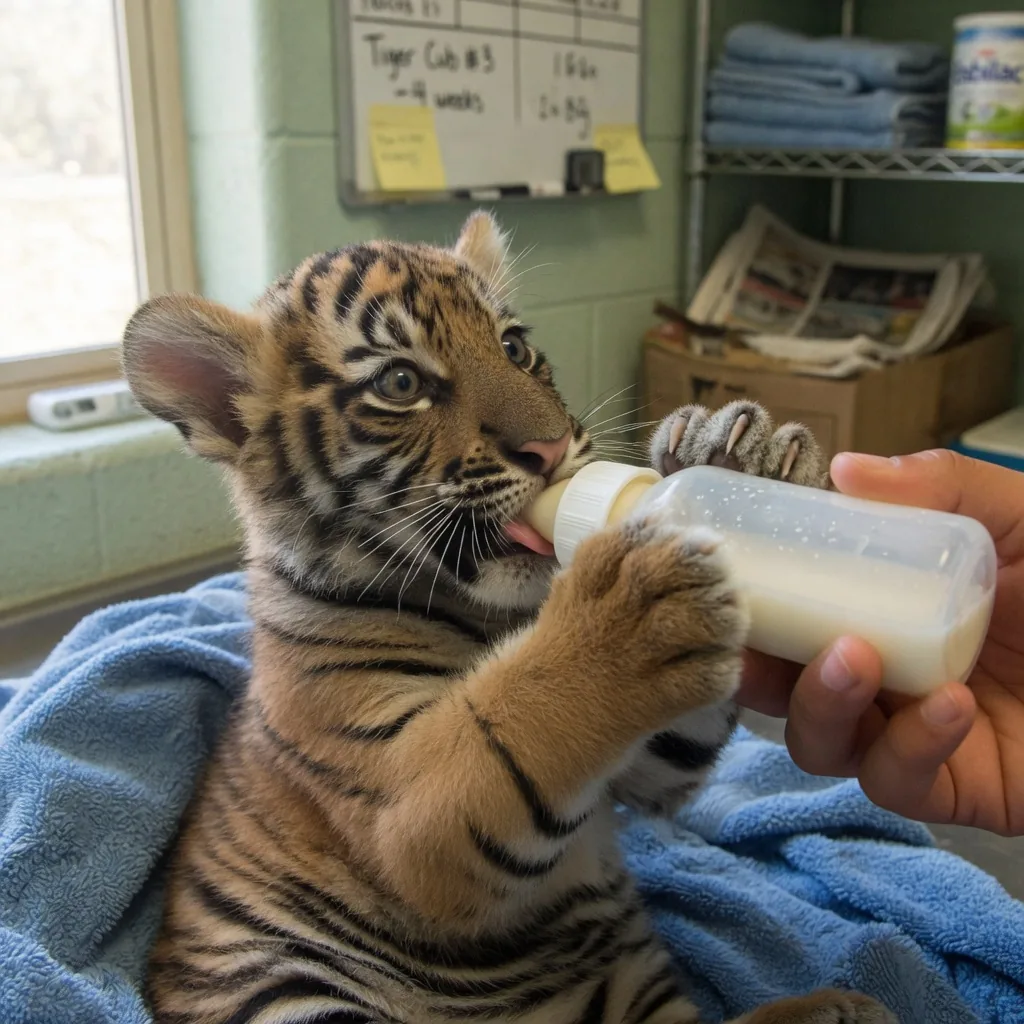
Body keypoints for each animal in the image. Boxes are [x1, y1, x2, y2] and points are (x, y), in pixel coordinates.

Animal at [123, 211, 894, 1024]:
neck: (496, 612)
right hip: (290, 994)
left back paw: (836, 1007)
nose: (550, 449)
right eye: (400, 383)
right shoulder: (399, 804)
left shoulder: (642, 768)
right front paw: (631, 605)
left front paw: (740, 465)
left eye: (515, 348)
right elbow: (511, 725)